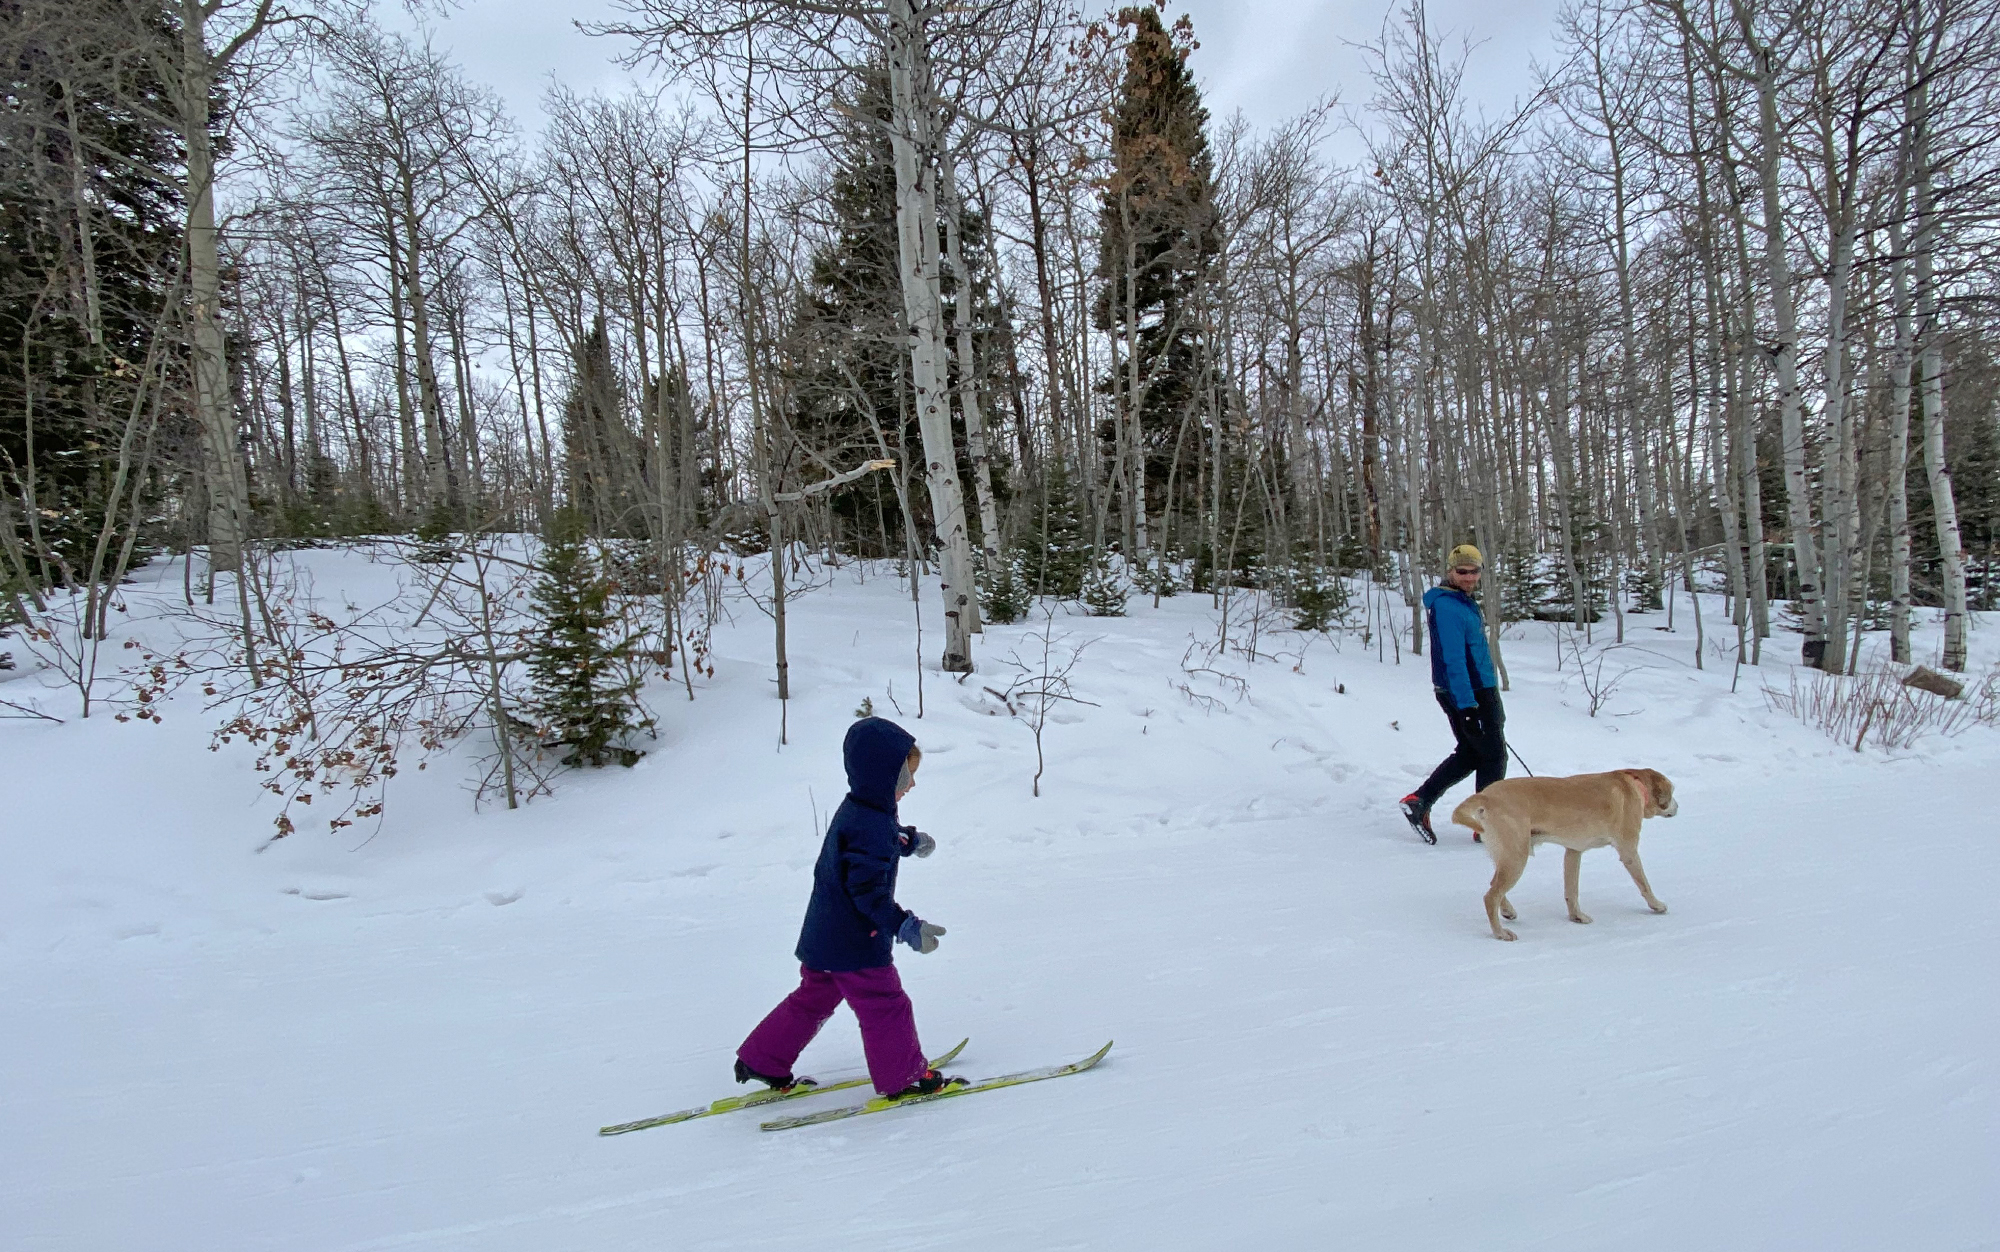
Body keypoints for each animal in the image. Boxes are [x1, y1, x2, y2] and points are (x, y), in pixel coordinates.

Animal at [1448, 772, 1680, 936]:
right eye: (1672, 793)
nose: (1678, 807)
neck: (1636, 784)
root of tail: (1486, 795)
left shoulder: (1573, 852)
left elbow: (1571, 890)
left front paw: (1576, 916)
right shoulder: (1628, 850)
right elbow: (1644, 884)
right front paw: (1656, 905)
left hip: (1506, 855)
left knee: (1494, 886)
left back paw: (1508, 911)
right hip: (1516, 858)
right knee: (1490, 896)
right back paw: (1500, 933)